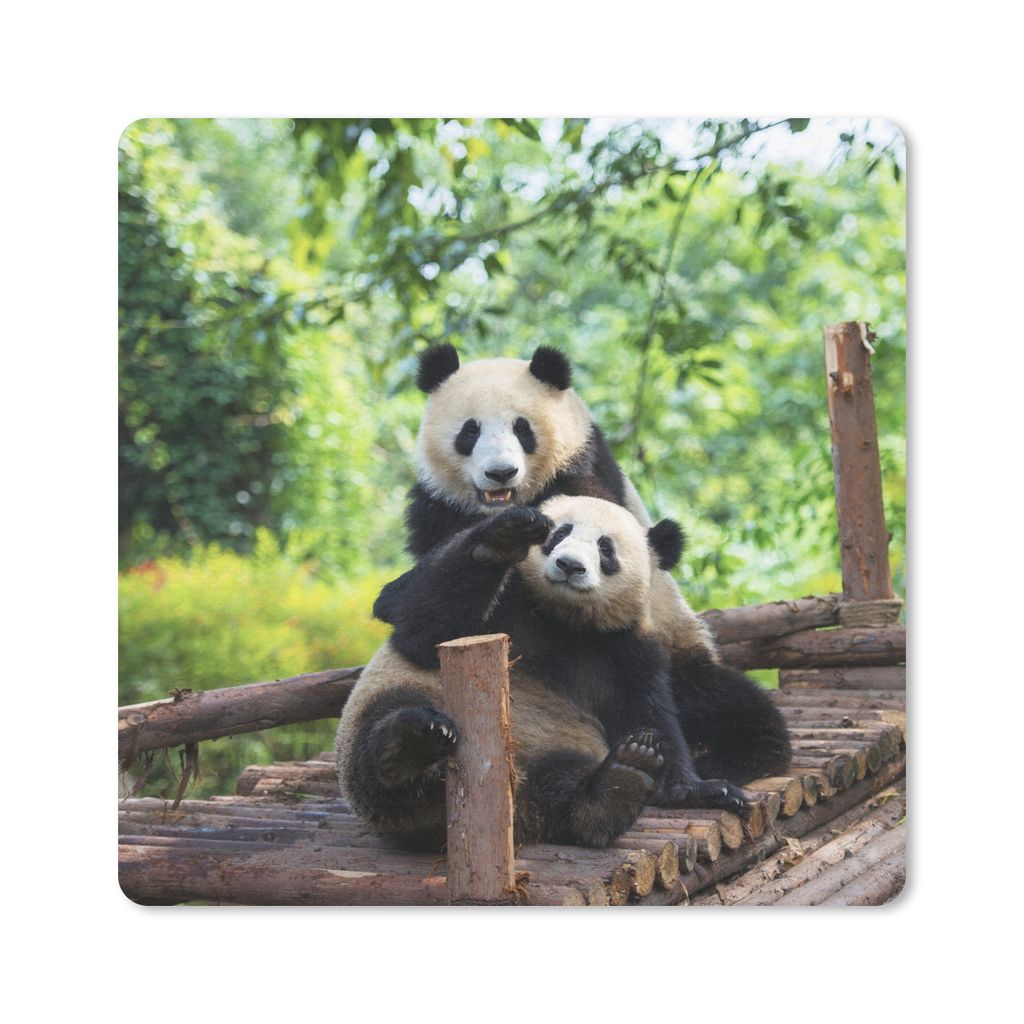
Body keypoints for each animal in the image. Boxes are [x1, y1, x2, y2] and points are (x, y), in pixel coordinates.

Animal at [336, 495, 749, 851]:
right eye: (559, 534)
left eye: (606, 548)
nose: (569, 565)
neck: (562, 619)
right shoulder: (506, 605)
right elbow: (425, 631)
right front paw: (503, 538)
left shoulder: (624, 648)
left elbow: (649, 711)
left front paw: (698, 788)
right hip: (394, 709)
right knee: (383, 733)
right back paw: (412, 746)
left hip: (554, 750)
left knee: (563, 786)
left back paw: (617, 786)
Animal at [373, 343, 791, 785]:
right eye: (470, 431)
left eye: (522, 429)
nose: (501, 472)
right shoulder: (437, 507)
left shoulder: (583, 474)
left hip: (678, 646)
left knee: (727, 703)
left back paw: (728, 757)